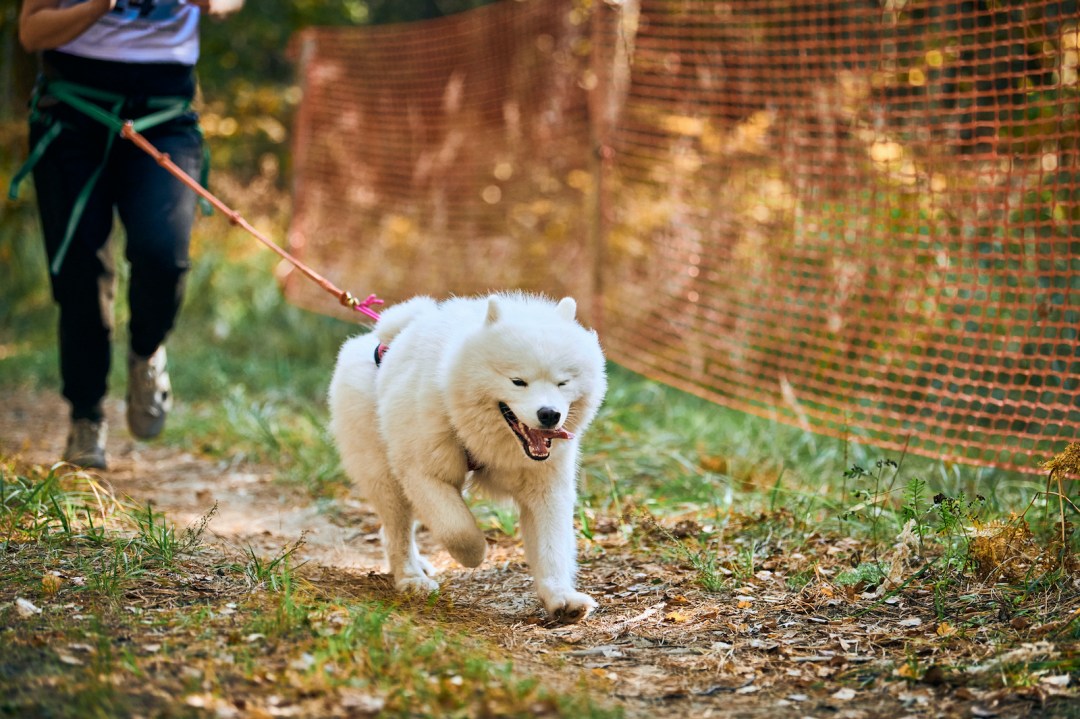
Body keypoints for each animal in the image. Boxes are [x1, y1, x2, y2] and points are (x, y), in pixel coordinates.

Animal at [326, 291, 609, 621]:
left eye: (562, 382)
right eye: (518, 381)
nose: (550, 414)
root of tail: (382, 338)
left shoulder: (546, 489)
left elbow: (553, 547)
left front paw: (560, 598)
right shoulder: (422, 473)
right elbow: (457, 529)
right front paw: (474, 553)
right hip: (385, 478)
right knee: (397, 533)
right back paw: (411, 578)